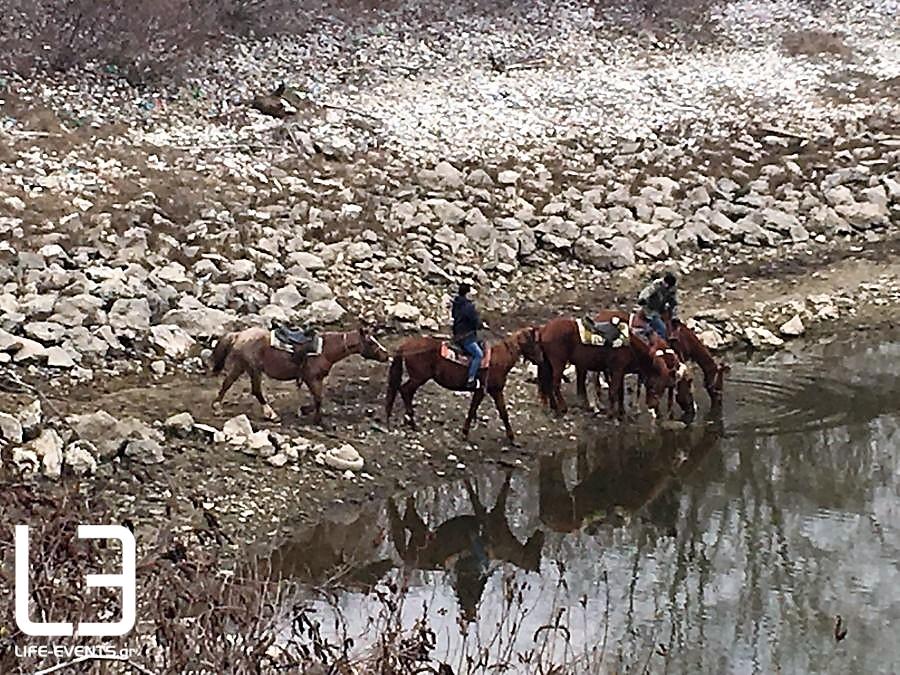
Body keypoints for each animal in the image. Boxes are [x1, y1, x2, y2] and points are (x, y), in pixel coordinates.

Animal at [214, 326, 394, 426]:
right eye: (370, 342)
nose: (386, 355)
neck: (326, 350)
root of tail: (238, 335)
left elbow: (318, 399)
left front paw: (305, 411)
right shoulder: (312, 379)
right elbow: (319, 399)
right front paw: (316, 419)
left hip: (242, 366)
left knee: (227, 383)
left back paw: (217, 407)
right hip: (254, 368)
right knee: (256, 391)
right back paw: (271, 415)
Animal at [384, 326, 540, 444]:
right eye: (534, 342)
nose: (540, 359)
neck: (498, 359)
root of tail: (406, 345)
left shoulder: (495, 391)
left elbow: (502, 412)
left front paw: (511, 437)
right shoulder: (483, 390)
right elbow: (473, 410)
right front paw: (465, 433)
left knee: (405, 392)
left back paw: (409, 421)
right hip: (418, 378)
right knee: (405, 391)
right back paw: (412, 423)